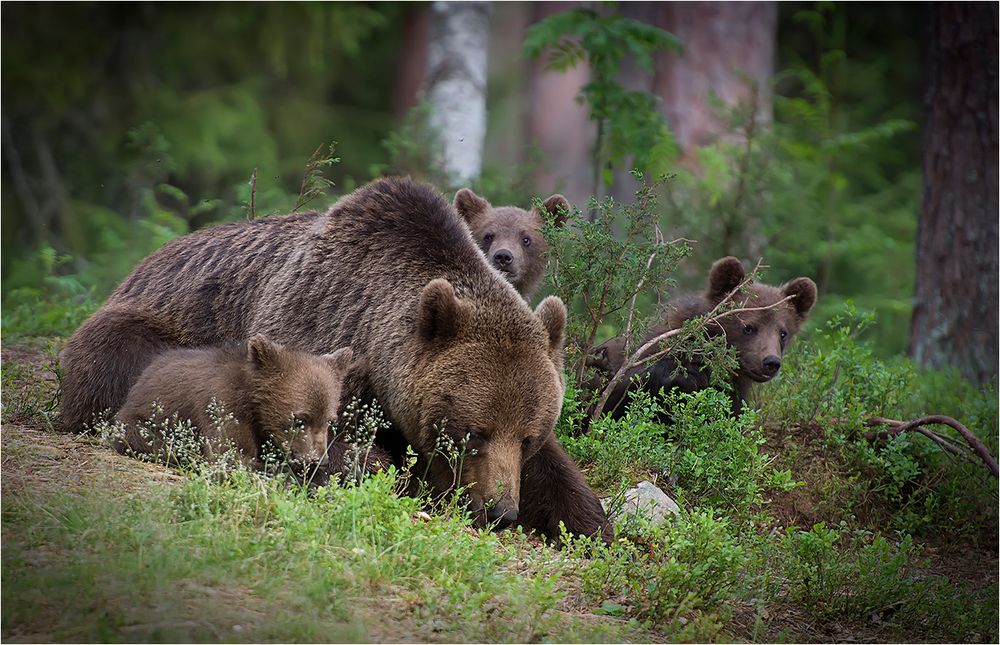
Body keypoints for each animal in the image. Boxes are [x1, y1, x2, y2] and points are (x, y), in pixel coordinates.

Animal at [114, 338, 352, 472]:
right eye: (300, 419)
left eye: (329, 420)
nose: (318, 460)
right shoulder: (222, 405)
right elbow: (229, 453)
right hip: (139, 421)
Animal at [588, 256, 816, 418]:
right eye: (749, 327)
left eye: (783, 333)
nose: (770, 362)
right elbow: (618, 396)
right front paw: (689, 377)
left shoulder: (734, 393)